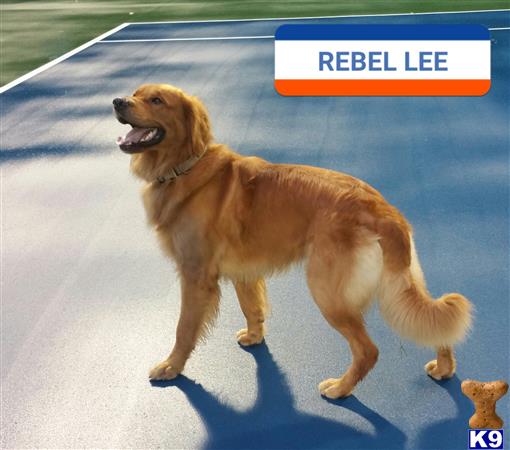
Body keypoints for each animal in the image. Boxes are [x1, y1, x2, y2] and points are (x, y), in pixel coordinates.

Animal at [113, 83, 472, 398]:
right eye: (135, 93)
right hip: (400, 285)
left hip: (328, 293)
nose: (117, 101)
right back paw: (444, 367)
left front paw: (171, 367)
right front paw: (254, 337)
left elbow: (184, 329)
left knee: (368, 350)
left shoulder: (195, 276)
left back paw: (340, 389)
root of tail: (383, 209)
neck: (186, 168)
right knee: (436, 327)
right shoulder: (244, 272)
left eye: (157, 100)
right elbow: (252, 309)